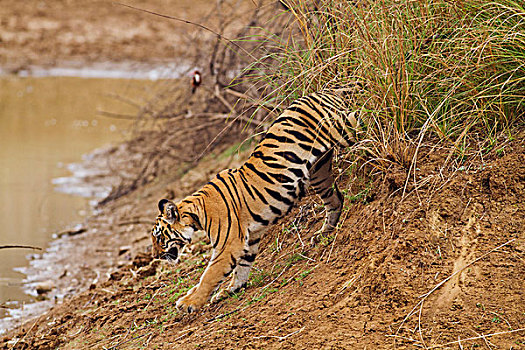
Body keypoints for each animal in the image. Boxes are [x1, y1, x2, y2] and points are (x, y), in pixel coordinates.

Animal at [149, 91, 358, 312]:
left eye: (159, 238)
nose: (156, 257)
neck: (196, 214)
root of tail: (322, 92)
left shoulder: (228, 244)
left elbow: (209, 275)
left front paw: (189, 302)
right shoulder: (249, 238)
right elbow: (241, 267)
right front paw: (231, 289)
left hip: (344, 129)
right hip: (320, 171)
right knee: (336, 199)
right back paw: (323, 234)